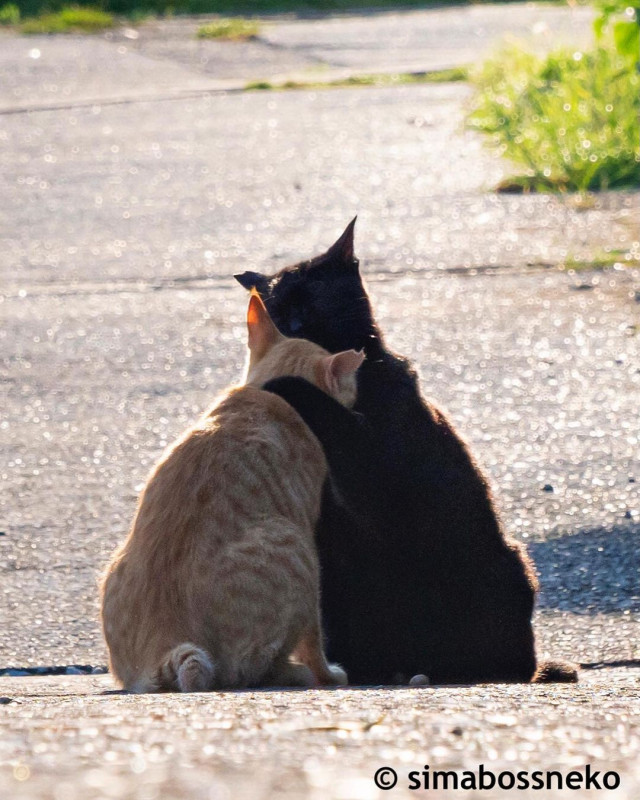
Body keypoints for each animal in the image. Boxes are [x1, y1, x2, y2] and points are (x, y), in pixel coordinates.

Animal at [97, 294, 362, 692]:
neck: (268, 393)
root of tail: (164, 641)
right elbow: (315, 638)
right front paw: (328, 673)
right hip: (296, 548)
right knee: (251, 669)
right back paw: (295, 672)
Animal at [235, 217, 576, 680]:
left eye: (311, 297)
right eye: (276, 307)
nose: (292, 322)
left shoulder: (377, 472)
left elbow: (334, 420)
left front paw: (282, 384)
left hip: (503, 570)